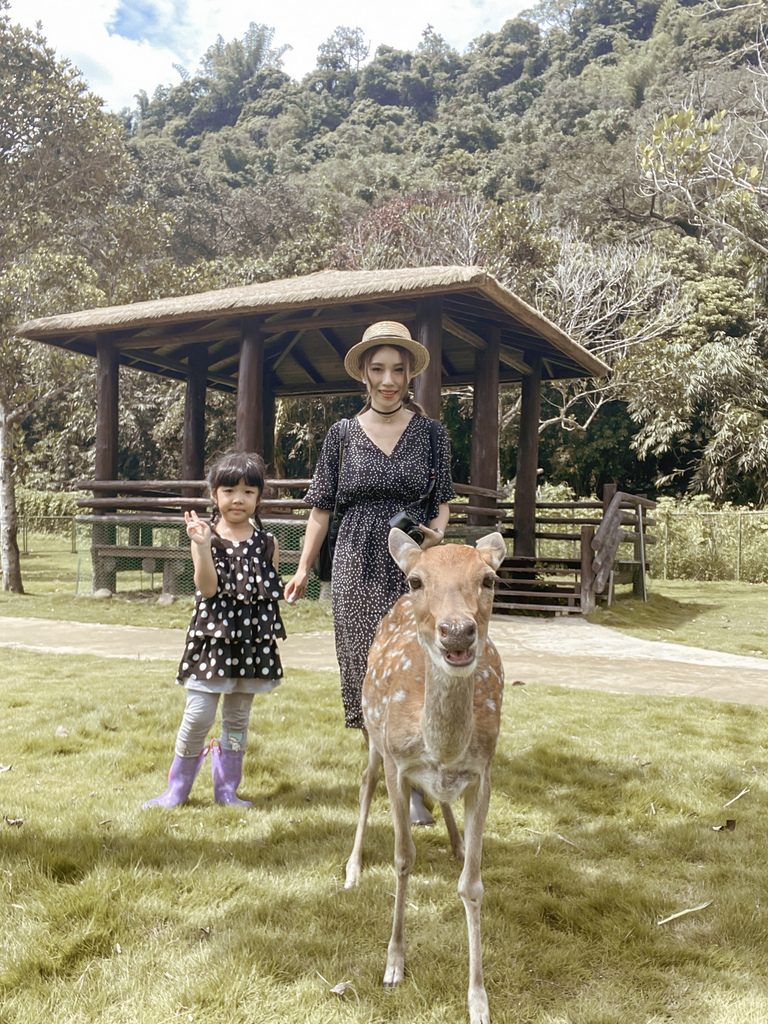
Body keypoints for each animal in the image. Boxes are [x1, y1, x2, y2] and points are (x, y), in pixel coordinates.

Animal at [348, 528, 505, 1024]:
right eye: (418, 581)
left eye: (489, 578)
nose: (457, 631)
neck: (439, 745)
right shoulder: (398, 764)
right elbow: (403, 859)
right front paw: (394, 963)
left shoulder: (483, 772)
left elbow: (473, 885)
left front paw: (478, 1000)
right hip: (372, 733)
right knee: (365, 782)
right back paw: (352, 868)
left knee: (441, 796)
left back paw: (455, 843)